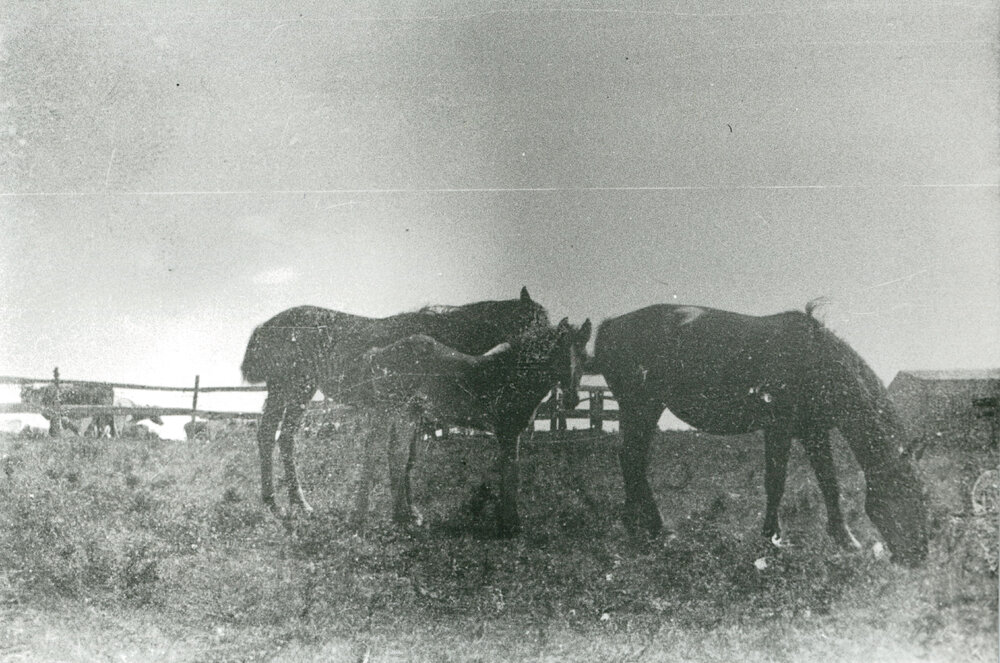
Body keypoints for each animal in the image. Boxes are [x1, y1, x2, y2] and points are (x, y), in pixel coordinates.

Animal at [240, 287, 551, 514]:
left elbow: (402, 456)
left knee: (275, 435)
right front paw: (407, 512)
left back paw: (280, 502)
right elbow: (401, 456)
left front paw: (405, 510)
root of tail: (266, 326)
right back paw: (292, 504)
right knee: (278, 437)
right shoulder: (412, 411)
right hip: (294, 389)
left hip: (290, 391)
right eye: (531, 325)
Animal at [349, 317, 592, 536]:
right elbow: (511, 472)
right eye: (560, 356)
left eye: (584, 357)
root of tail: (378, 353)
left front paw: (499, 516)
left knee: (398, 456)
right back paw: (359, 521)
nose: (572, 400)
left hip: (408, 414)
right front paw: (510, 525)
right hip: (387, 411)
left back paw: (405, 518)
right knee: (372, 453)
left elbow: (504, 470)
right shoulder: (508, 431)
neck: (511, 374)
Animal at [592, 302, 929, 566]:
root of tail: (611, 326)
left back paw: (640, 525)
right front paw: (772, 537)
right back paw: (654, 528)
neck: (815, 360)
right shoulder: (778, 429)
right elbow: (776, 484)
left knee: (632, 460)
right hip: (642, 407)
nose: (918, 556)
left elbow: (829, 484)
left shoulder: (814, 432)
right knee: (632, 459)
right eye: (903, 492)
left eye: (922, 494)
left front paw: (846, 540)